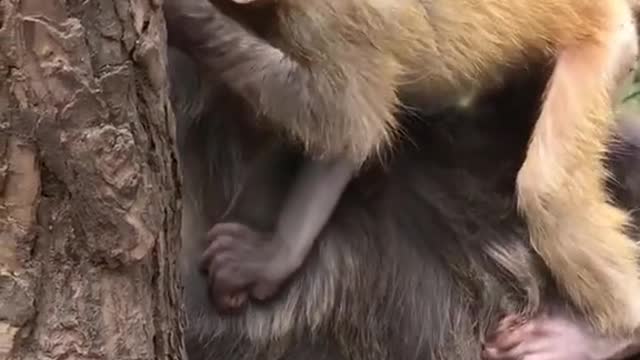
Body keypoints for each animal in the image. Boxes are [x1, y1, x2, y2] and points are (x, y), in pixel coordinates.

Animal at [164, 0, 640, 338]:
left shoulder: (329, 19)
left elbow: (343, 119)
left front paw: (187, 20)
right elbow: (351, 141)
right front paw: (273, 258)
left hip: (608, 42)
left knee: (548, 190)